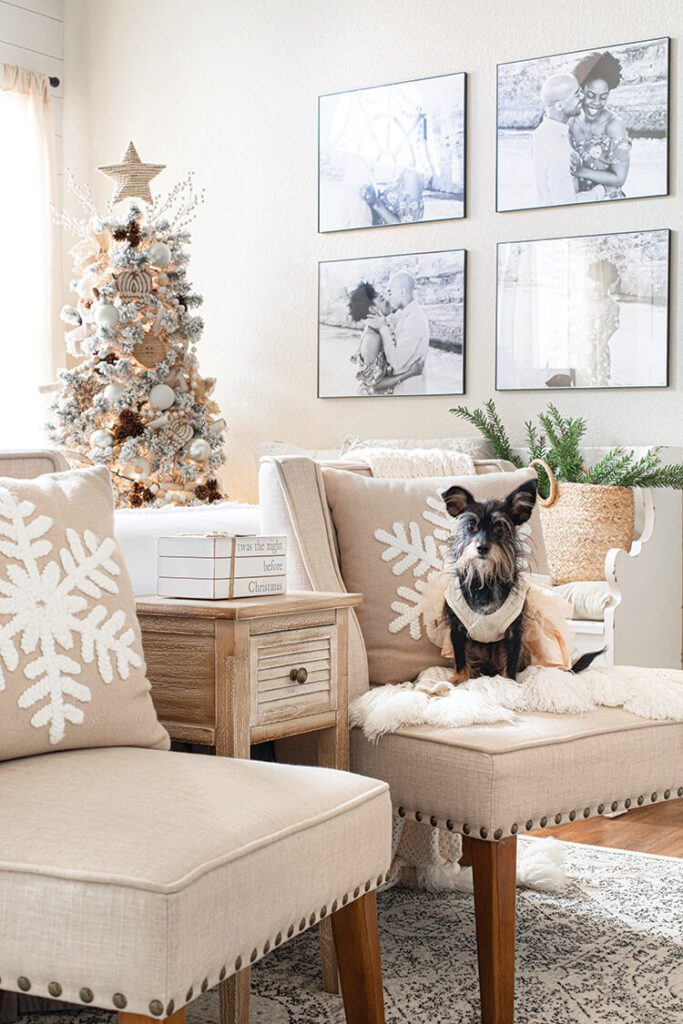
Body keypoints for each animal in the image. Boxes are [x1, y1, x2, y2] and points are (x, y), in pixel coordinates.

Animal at [444, 481, 598, 688]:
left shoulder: (514, 632)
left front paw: (509, 683)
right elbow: (460, 658)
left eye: (499, 528)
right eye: (470, 526)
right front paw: (459, 679)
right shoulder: (457, 629)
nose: (482, 547)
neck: (486, 580)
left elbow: (511, 661)